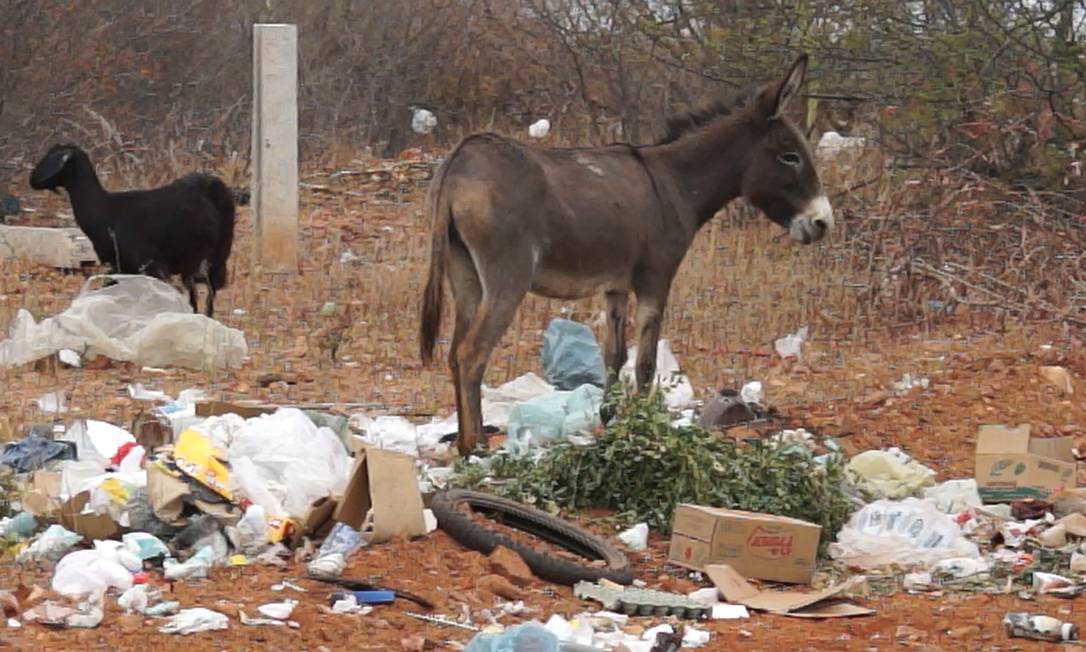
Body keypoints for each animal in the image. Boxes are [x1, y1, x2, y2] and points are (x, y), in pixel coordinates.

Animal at [29, 142, 236, 315]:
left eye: (54, 158)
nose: (32, 180)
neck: (107, 212)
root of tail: (212, 180)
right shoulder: (119, 266)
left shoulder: (151, 267)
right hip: (190, 261)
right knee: (193, 292)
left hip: (218, 256)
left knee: (210, 293)